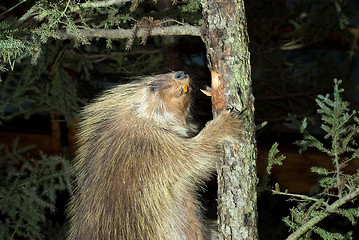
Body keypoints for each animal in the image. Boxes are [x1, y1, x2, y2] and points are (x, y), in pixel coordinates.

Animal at [67, 71, 242, 240]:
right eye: (153, 87)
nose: (181, 74)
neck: (145, 118)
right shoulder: (150, 146)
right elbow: (193, 155)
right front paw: (225, 124)